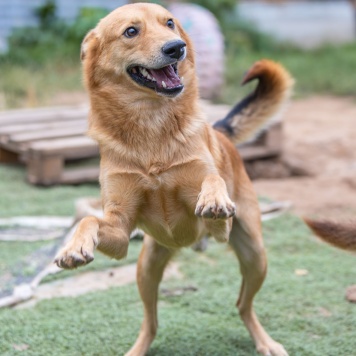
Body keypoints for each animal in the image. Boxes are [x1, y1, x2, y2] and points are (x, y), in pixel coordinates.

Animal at [55, 3, 294, 356]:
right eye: (131, 31)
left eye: (170, 24)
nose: (176, 47)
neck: (151, 126)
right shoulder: (120, 232)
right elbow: (89, 219)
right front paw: (74, 246)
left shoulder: (220, 227)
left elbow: (212, 181)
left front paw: (214, 198)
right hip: (146, 268)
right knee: (151, 321)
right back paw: (137, 348)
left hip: (255, 256)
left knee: (243, 304)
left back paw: (266, 342)